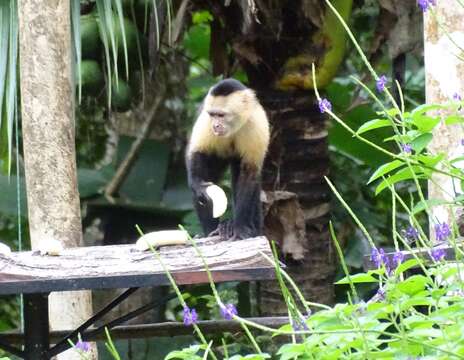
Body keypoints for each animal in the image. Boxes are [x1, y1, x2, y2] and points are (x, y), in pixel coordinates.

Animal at [186, 79, 270, 242]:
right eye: (213, 115)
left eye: (221, 115)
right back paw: (209, 232)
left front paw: (239, 228)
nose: (216, 125)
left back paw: (250, 228)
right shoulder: (205, 121)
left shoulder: (257, 124)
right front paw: (198, 185)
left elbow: (249, 173)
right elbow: (197, 153)